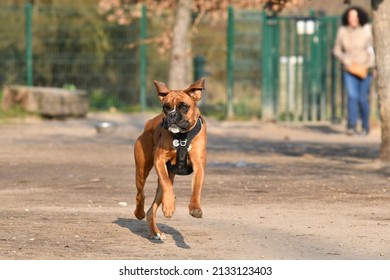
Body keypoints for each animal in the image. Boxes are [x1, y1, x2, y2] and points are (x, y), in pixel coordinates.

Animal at [133, 77, 207, 240]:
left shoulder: (199, 165)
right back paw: (140, 213)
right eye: (166, 107)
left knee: (151, 210)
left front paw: (195, 208)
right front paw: (168, 206)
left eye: (184, 106)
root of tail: (148, 122)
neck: (182, 137)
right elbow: (167, 184)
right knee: (141, 194)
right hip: (142, 170)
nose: (172, 115)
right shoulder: (159, 161)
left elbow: (197, 188)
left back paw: (156, 232)